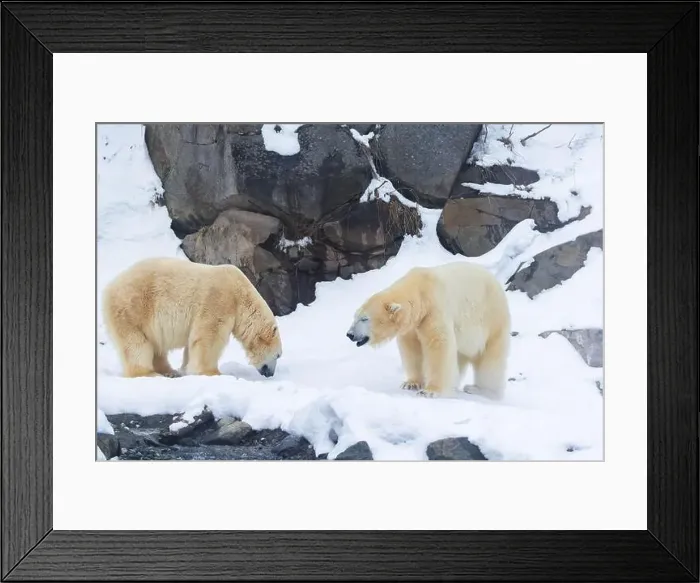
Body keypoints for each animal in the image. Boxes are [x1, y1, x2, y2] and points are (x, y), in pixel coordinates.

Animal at [101, 257, 283, 379]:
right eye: (278, 355)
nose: (270, 373)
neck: (240, 293)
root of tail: (109, 288)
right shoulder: (219, 300)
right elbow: (208, 337)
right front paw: (212, 372)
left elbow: (193, 342)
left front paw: (186, 369)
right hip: (133, 308)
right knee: (136, 344)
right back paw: (148, 373)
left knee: (156, 346)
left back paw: (170, 371)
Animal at [346, 262, 511, 400]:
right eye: (355, 316)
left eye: (364, 319)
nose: (350, 334)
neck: (421, 290)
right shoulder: (413, 325)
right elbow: (411, 348)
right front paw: (411, 383)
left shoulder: (435, 310)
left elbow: (439, 345)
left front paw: (430, 391)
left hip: (492, 318)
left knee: (491, 359)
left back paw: (480, 389)